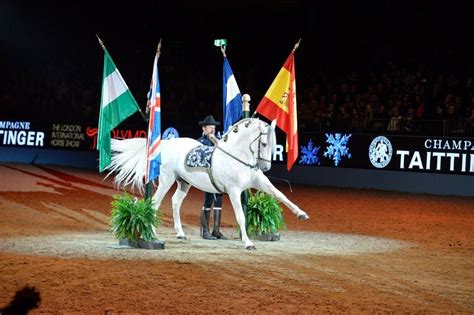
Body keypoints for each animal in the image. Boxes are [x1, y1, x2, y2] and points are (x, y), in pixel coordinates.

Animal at [109, 117, 312, 251]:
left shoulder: (260, 182)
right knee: (154, 203)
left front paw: (301, 214)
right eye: (263, 143)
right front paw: (248, 243)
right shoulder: (234, 190)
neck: (237, 156)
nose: (264, 166)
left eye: (274, 143)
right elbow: (240, 216)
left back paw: (180, 233)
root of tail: (167, 145)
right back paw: (152, 234)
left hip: (184, 183)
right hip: (167, 179)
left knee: (175, 202)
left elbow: (281, 195)